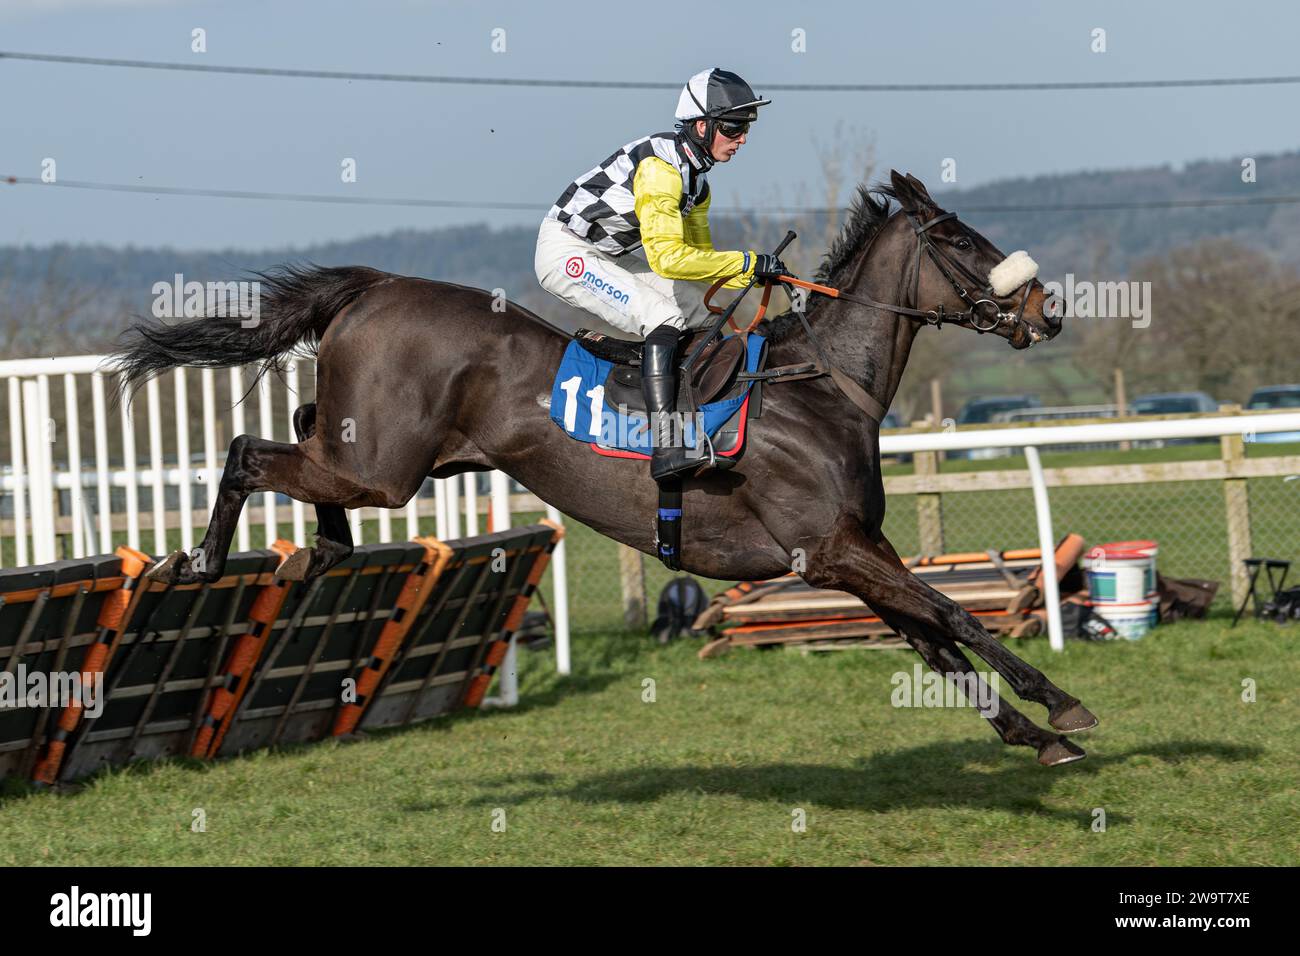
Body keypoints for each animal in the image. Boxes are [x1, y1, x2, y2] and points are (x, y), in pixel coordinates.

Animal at [114, 171, 1097, 764]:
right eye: (961, 241)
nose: (1046, 311)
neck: (821, 386)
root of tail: (376, 286)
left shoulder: (849, 554)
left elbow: (934, 638)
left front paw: (1028, 729)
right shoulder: (832, 548)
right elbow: (954, 616)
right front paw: (1060, 707)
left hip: (383, 458)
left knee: (301, 431)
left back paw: (321, 550)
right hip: (383, 468)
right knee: (248, 452)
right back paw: (198, 561)